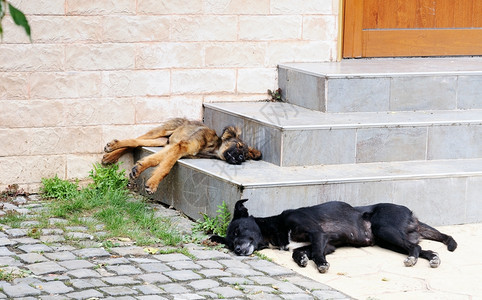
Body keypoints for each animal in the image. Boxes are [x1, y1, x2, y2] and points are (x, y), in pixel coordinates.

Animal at [100, 118, 262, 193]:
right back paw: (112, 148)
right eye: (239, 146)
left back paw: (110, 155)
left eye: (245, 156)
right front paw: (152, 185)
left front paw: (138, 168)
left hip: (162, 141)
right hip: (163, 131)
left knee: (136, 142)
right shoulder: (181, 146)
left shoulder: (175, 148)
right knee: (135, 139)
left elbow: (156, 161)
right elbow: (166, 167)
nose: (240, 159)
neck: (213, 148)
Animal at [209, 200, 374, 274]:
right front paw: (301, 258)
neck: (276, 227)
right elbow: (299, 251)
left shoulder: (317, 233)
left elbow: (316, 252)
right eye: (230, 244)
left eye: (237, 231)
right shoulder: (328, 245)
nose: (236, 250)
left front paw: (321, 263)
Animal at [292, 204, 458, 270]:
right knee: (424, 249)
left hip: (383, 229)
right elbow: (300, 251)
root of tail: (411, 214)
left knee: (416, 247)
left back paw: (412, 259)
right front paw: (302, 258)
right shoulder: (327, 245)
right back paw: (433, 259)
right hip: (389, 242)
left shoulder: (322, 240)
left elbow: (312, 251)